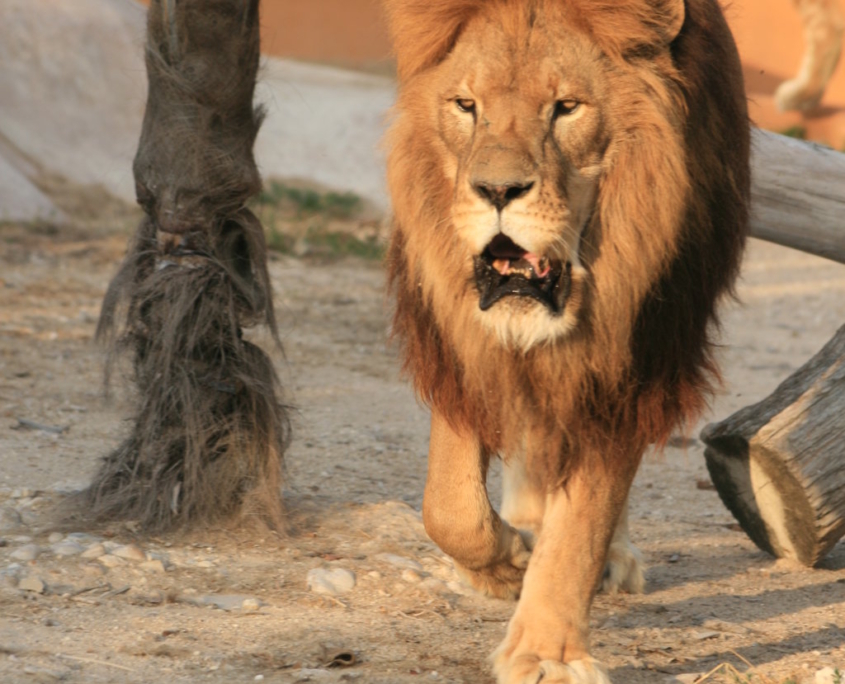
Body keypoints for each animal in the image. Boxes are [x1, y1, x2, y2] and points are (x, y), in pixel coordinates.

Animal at [384, 0, 750, 682]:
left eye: (567, 108)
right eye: (466, 105)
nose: (497, 191)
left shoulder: (629, 366)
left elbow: (583, 521)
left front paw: (545, 653)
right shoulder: (460, 343)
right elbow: (449, 506)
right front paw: (506, 564)